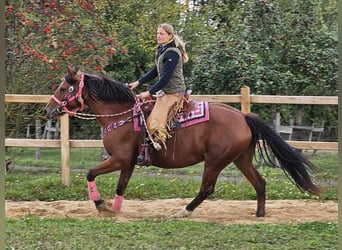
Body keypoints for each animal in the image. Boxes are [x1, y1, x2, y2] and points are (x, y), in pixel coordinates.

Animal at [43, 66, 320, 219]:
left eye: (64, 89)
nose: (48, 110)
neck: (121, 115)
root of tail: (243, 116)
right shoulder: (129, 162)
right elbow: (122, 186)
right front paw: (115, 209)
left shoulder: (119, 159)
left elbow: (91, 173)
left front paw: (101, 205)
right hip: (241, 159)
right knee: (259, 182)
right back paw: (260, 214)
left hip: (216, 161)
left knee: (207, 189)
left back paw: (182, 212)